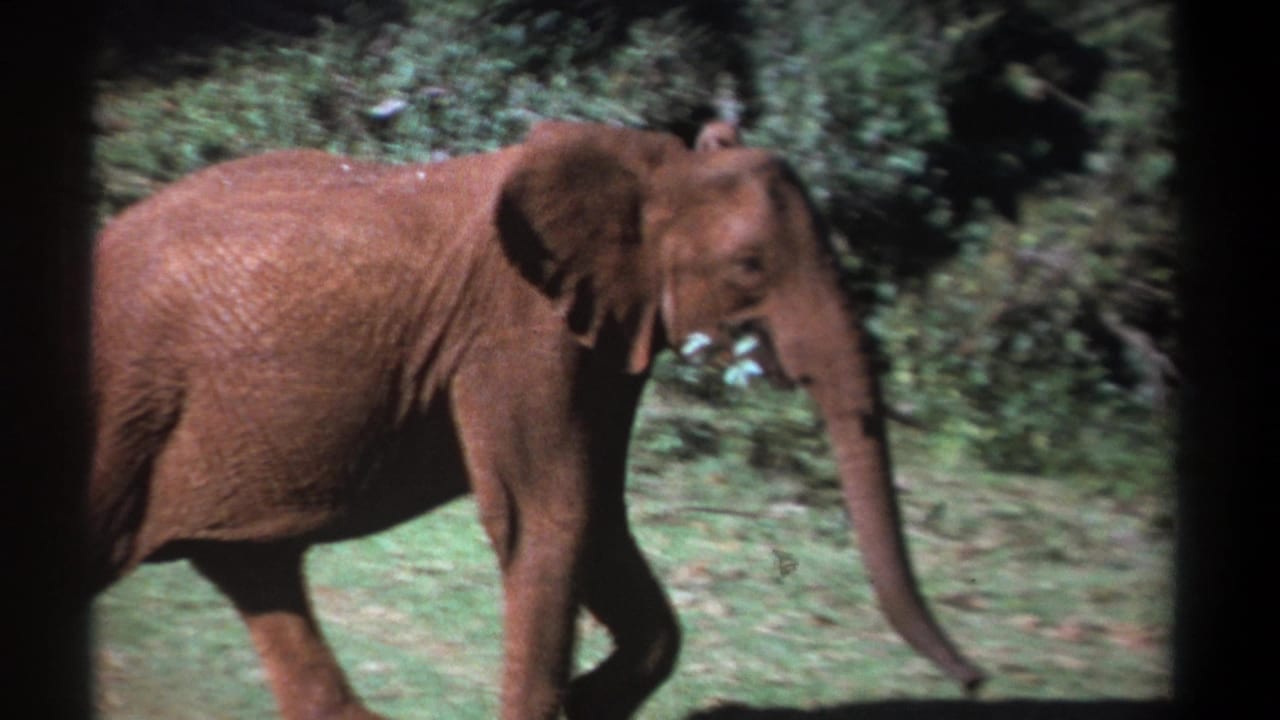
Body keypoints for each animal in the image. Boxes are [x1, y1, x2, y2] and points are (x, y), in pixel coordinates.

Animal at [88, 120, 984, 720]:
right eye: (750, 266)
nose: (978, 679)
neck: (653, 164)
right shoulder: (519, 328)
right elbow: (550, 514)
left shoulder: (604, 331)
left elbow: (604, 520)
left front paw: (585, 703)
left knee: (256, 570)